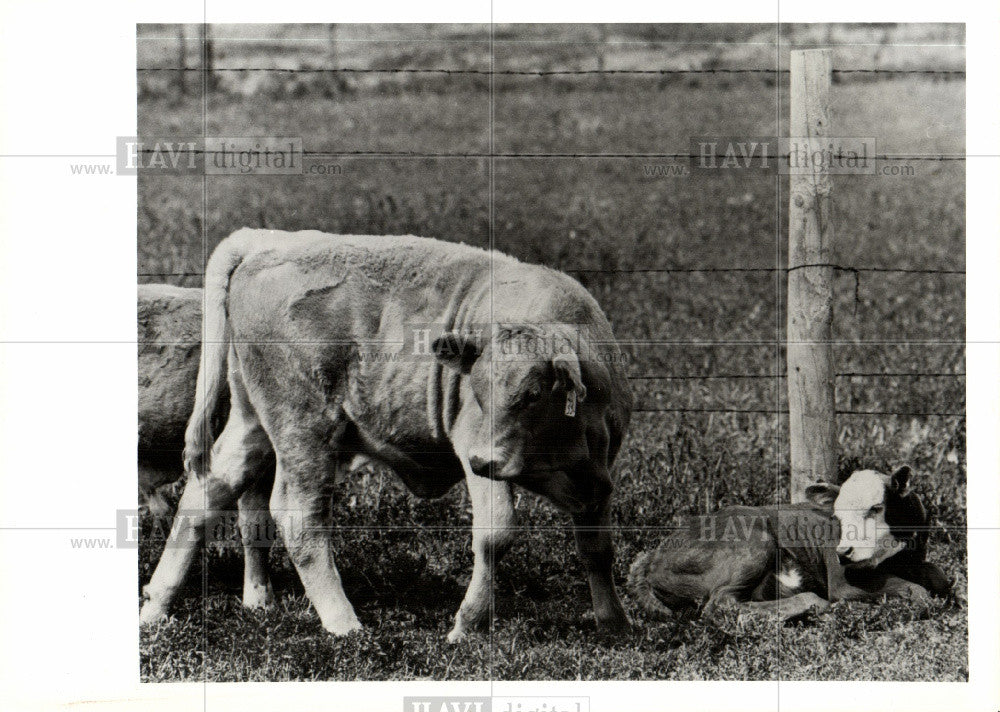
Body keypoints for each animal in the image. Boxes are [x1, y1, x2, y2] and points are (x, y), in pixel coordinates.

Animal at [139, 231, 632, 644]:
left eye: (531, 396)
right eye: (475, 389)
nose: (483, 461)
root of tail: (266, 239)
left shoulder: (597, 477)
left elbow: (598, 549)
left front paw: (615, 622)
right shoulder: (476, 454)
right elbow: (496, 535)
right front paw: (468, 625)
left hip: (251, 423)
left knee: (206, 494)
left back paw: (157, 606)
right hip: (303, 429)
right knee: (298, 516)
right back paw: (344, 623)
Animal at [628, 464, 948, 620]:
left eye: (876, 508)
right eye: (837, 515)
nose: (843, 552)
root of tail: (652, 556)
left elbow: (939, 577)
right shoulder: (842, 582)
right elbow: (917, 591)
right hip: (754, 543)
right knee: (720, 605)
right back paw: (815, 609)